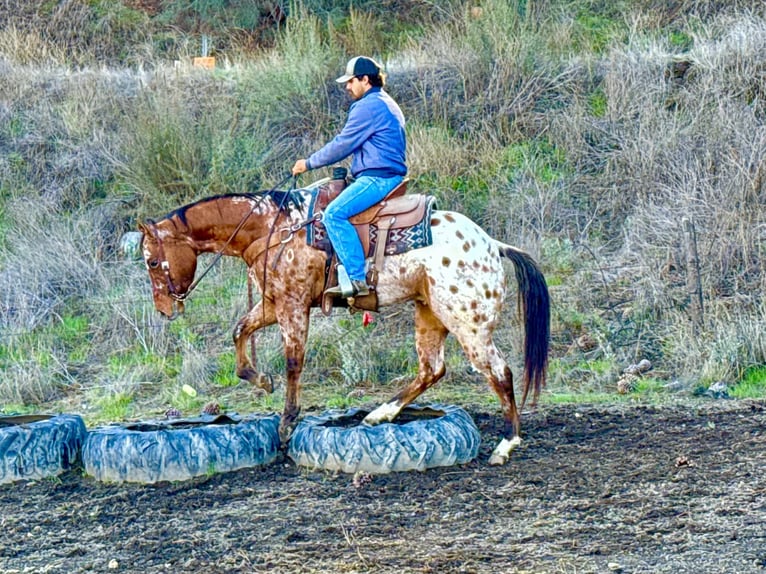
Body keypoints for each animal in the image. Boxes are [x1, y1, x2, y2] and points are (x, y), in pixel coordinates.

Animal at [139, 185, 550, 465]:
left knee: (500, 372)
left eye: (152, 261)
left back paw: (506, 444)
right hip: (430, 313)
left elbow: (293, 363)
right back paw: (380, 414)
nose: (164, 310)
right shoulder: (272, 305)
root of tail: (492, 244)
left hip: (468, 323)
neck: (272, 229)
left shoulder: (292, 307)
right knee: (431, 369)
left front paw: (287, 424)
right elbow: (240, 331)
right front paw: (260, 379)